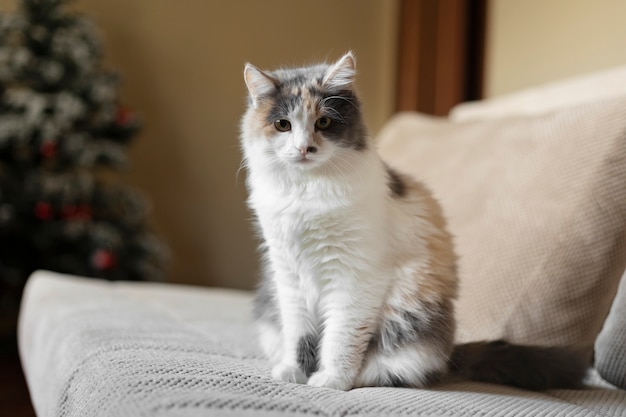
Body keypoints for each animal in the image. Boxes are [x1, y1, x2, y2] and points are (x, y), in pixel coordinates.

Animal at [239, 52, 584, 390]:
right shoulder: (288, 275)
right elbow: (300, 334)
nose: (304, 148)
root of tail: (451, 354)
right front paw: (295, 372)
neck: (306, 191)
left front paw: (332, 380)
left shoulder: (356, 277)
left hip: (411, 322)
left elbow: (340, 337)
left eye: (323, 122)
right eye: (283, 125)